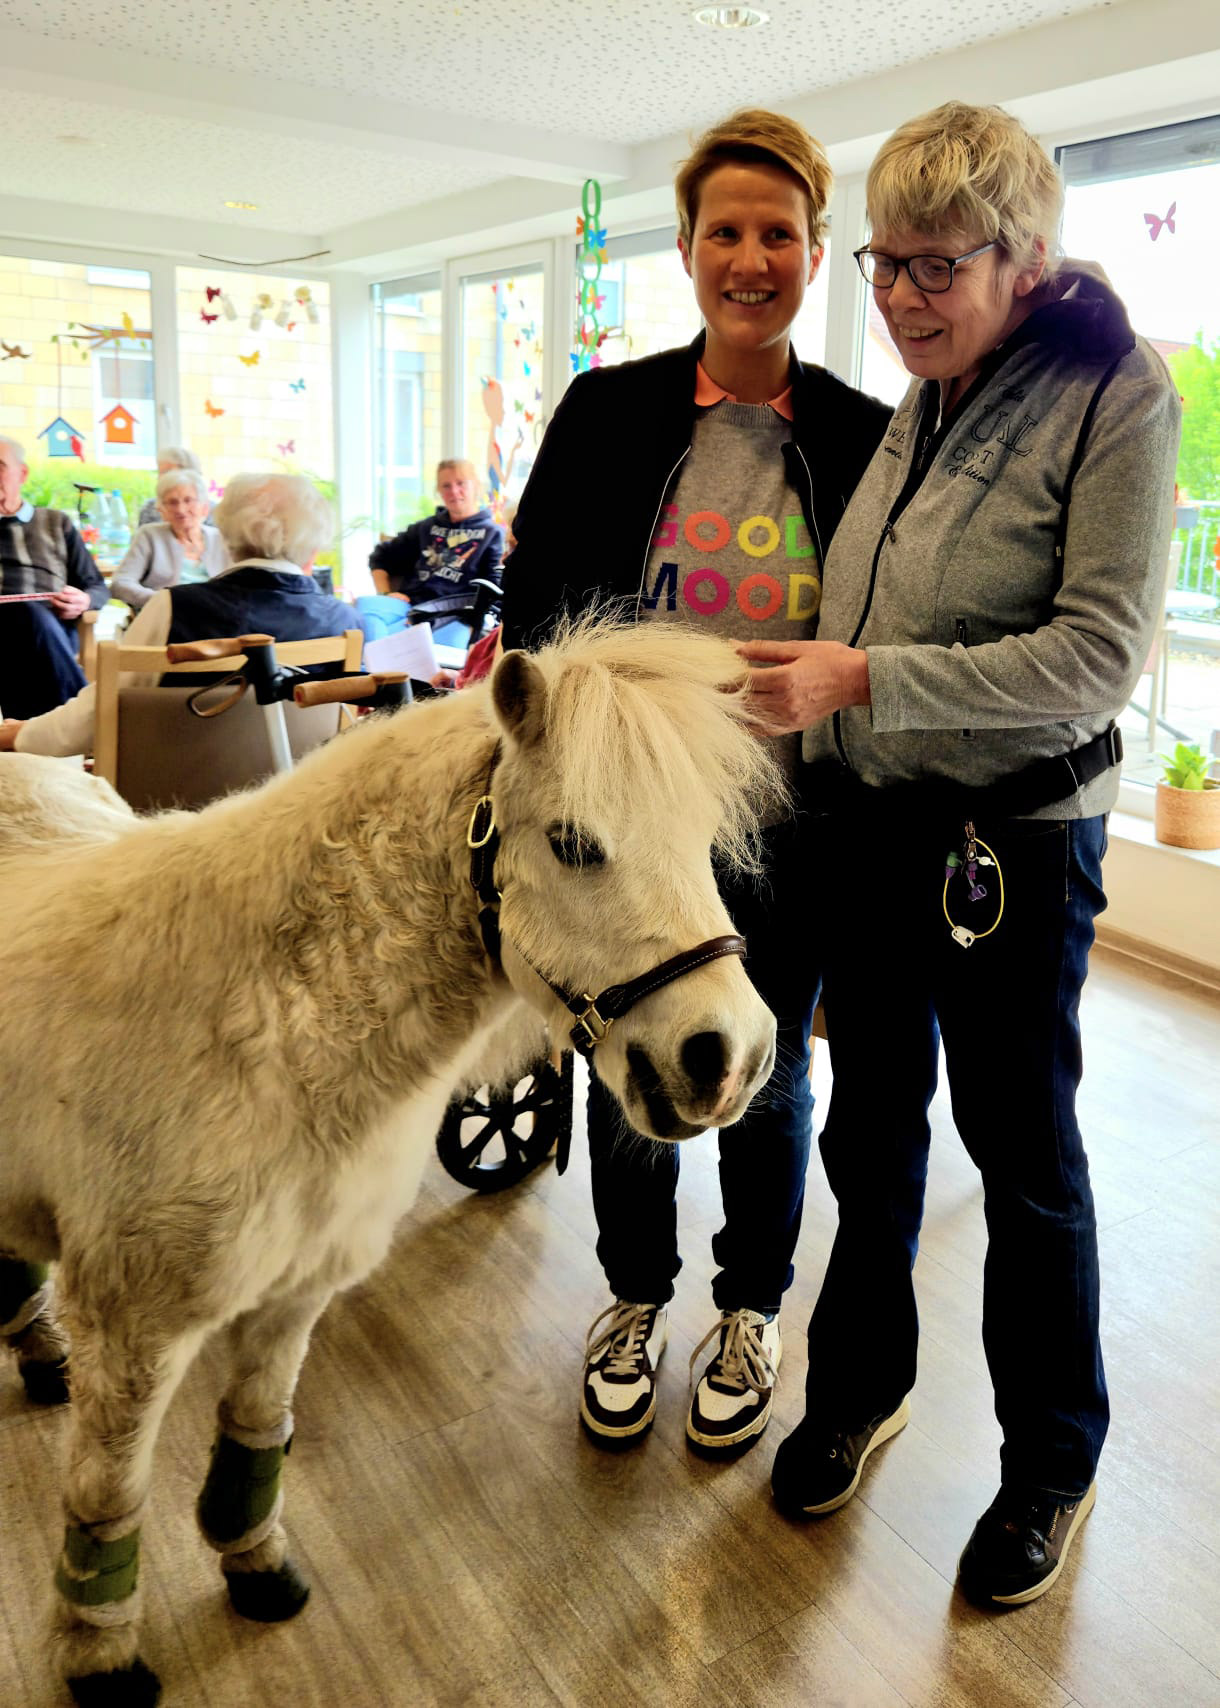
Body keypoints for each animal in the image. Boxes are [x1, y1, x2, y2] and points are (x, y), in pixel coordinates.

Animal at [0, 620, 781, 1705]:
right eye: (575, 844)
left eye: (703, 838)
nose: (728, 1058)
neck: (263, 1028)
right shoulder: (134, 1328)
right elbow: (109, 1490)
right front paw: (101, 1657)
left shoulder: (292, 1295)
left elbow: (255, 1427)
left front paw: (257, 1568)